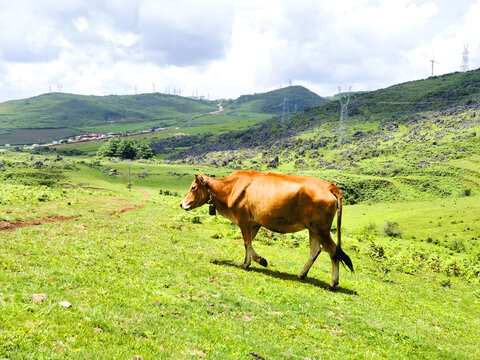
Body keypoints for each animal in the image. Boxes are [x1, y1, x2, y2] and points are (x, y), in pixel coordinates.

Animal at [180, 171, 352, 286]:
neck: (231, 187)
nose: (182, 204)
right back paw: (301, 274)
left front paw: (257, 261)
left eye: (193, 187)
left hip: (321, 229)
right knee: (315, 251)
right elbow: (248, 244)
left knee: (333, 251)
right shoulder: (255, 223)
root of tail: (330, 186)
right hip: (313, 229)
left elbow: (247, 242)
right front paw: (249, 262)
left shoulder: (243, 220)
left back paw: (333, 283)